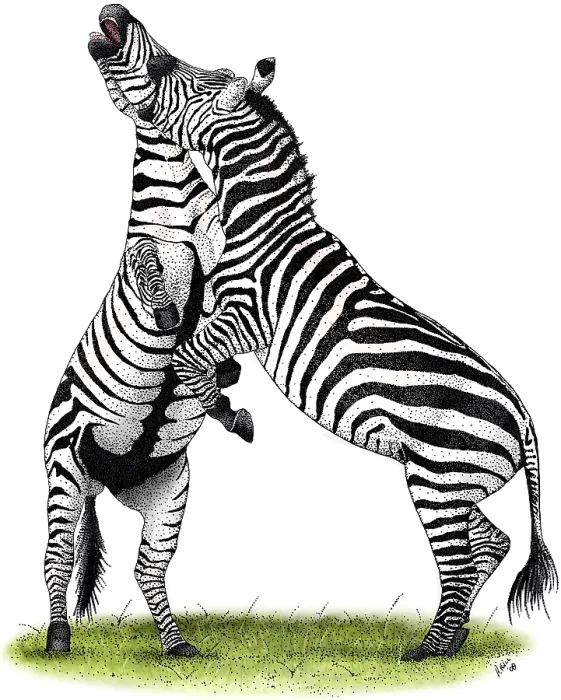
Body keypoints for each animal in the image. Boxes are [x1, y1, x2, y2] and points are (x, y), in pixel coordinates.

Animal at [45, 6, 275, 654]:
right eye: (170, 62)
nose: (111, 13)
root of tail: (106, 484)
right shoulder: (139, 261)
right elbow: (148, 267)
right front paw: (172, 321)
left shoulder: (227, 264)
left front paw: (224, 383)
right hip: (64, 471)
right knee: (57, 556)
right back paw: (58, 638)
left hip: (168, 491)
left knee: (146, 567)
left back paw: (176, 647)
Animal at [93, 6, 558, 661]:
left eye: (182, 75)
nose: (115, 16)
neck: (261, 223)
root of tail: (523, 418)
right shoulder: (218, 308)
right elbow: (186, 345)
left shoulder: (243, 317)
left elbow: (188, 360)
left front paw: (226, 410)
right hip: (455, 481)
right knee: (489, 543)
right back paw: (453, 637)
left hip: (437, 477)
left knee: (460, 559)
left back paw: (430, 649)